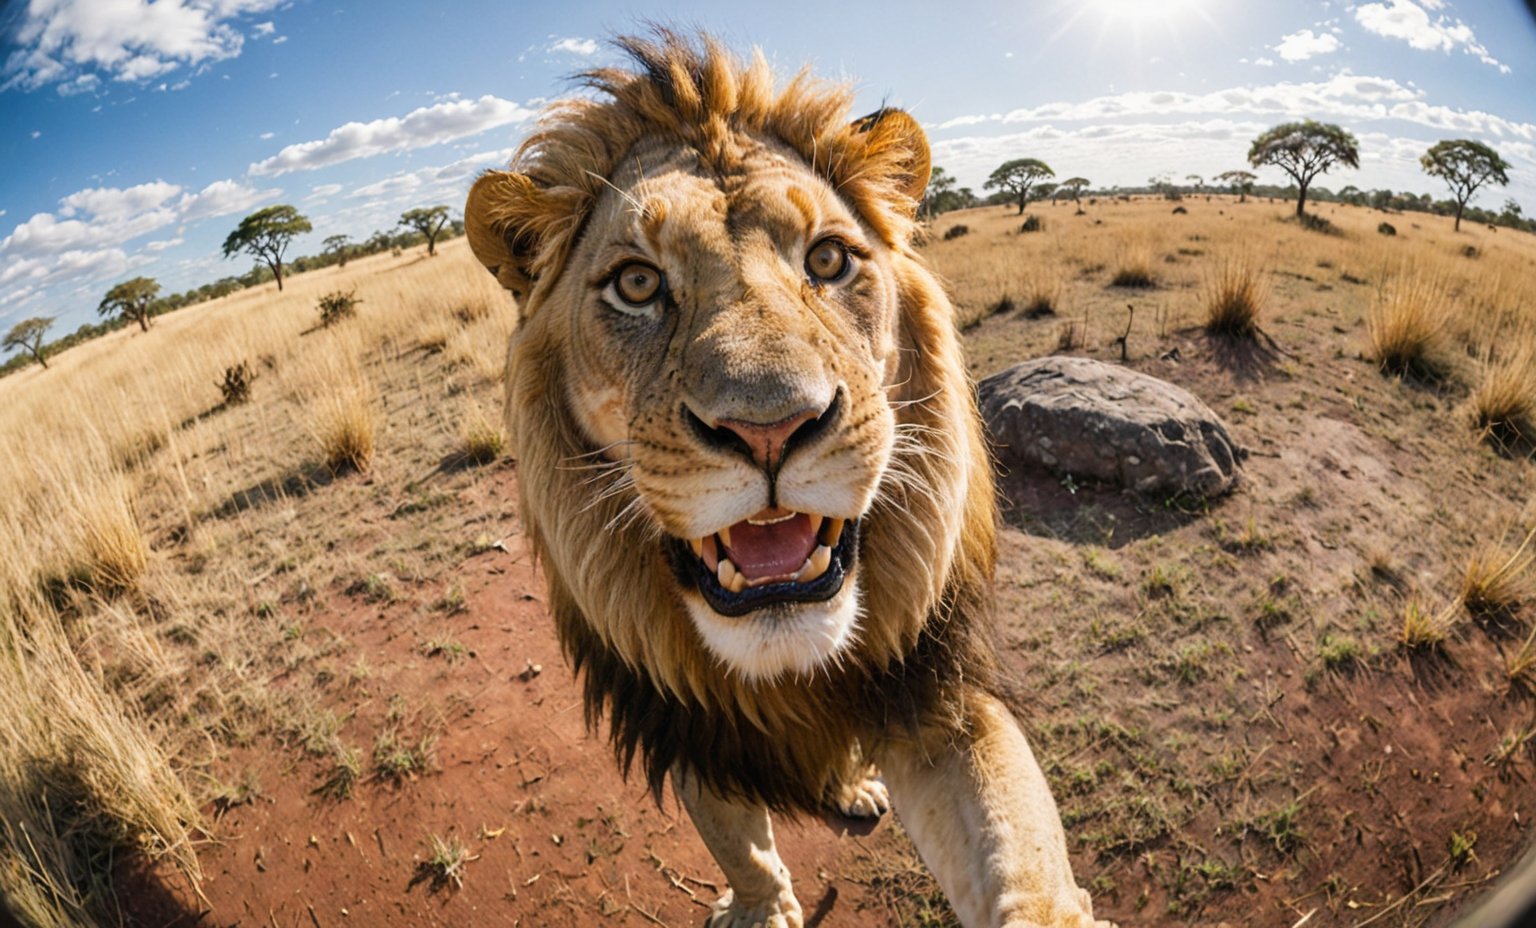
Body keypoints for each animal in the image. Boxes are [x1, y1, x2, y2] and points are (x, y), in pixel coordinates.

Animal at [460, 29, 1112, 928]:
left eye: (829, 259)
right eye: (637, 283)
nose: (769, 427)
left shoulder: (934, 694)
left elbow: (1020, 858)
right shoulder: (692, 725)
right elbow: (739, 845)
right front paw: (760, 904)